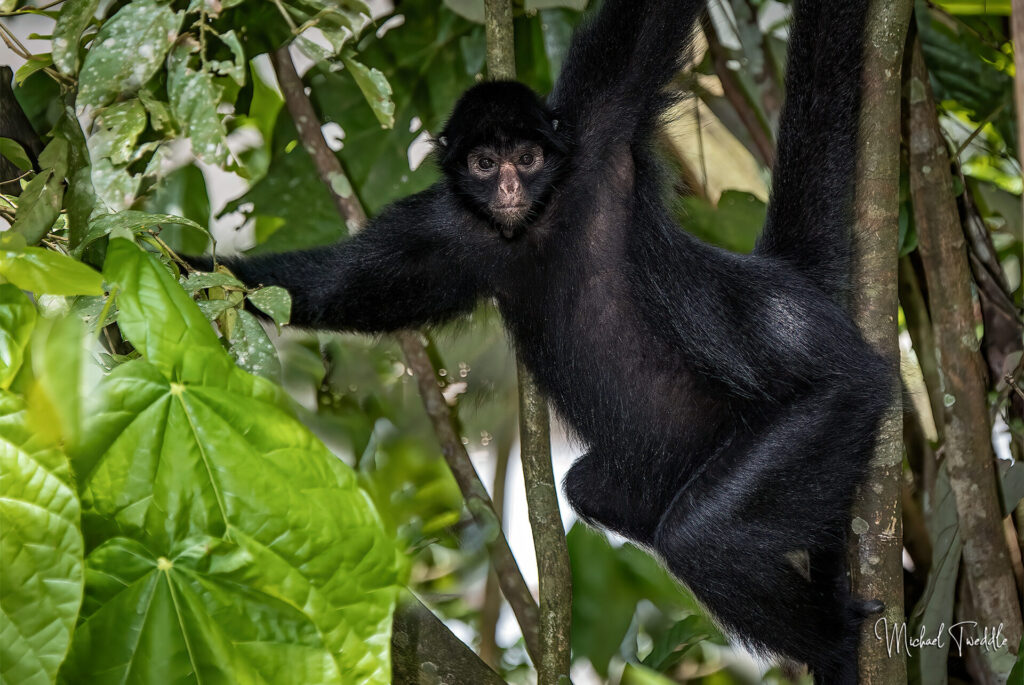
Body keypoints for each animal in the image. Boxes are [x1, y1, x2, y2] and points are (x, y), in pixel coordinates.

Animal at [190, 0, 888, 679]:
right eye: (484, 162)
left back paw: (833, 644)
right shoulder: (448, 228)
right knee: (597, 491)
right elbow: (341, 289)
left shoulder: (600, 119)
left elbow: (647, 24)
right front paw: (180, 276)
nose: (508, 187)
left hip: (836, 390)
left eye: (525, 159)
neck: (537, 223)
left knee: (704, 537)